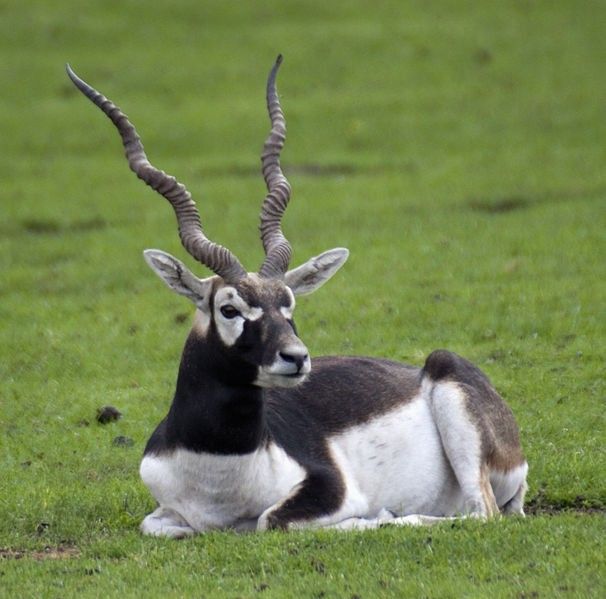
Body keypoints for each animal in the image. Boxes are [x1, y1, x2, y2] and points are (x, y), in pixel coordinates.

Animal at [69, 57, 528, 540]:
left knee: (480, 512)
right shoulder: (166, 513)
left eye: (288, 303)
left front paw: (373, 516)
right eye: (229, 308)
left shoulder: (331, 489)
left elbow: (271, 519)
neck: (218, 466)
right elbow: (156, 525)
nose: (296, 357)